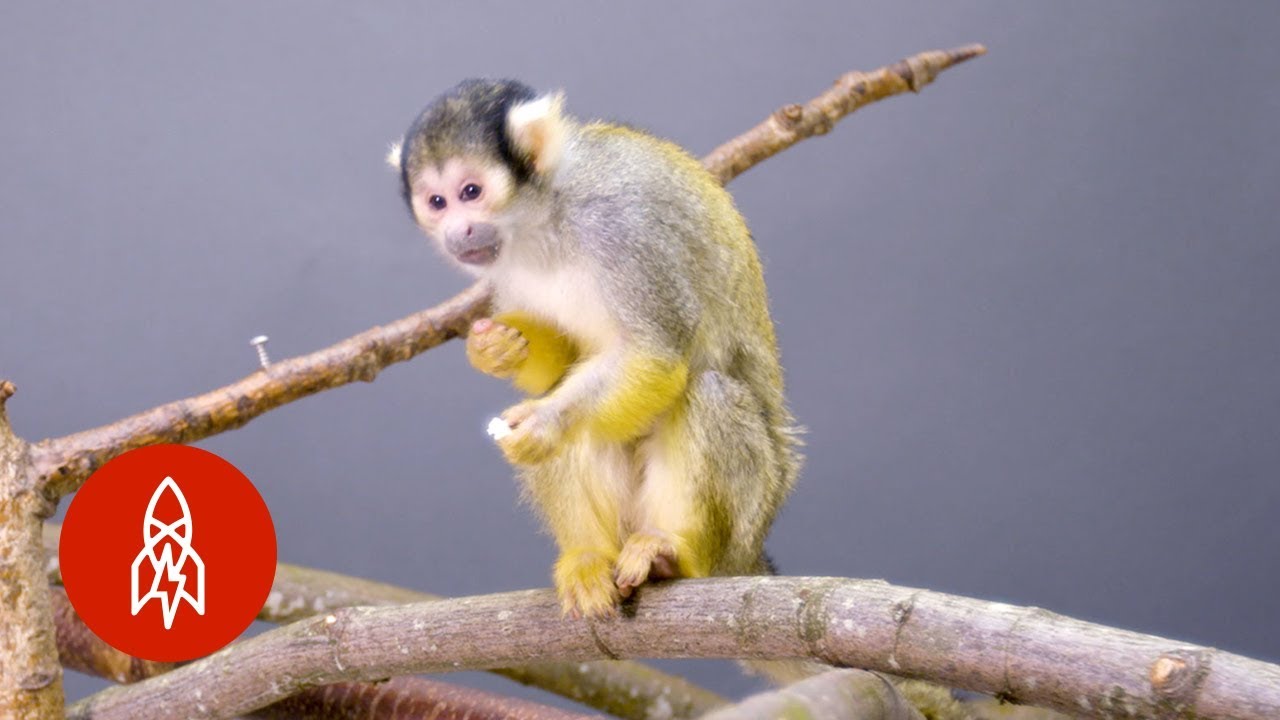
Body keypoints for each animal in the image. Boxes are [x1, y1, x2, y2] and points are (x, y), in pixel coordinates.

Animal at [389, 79, 802, 620]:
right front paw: (499, 349)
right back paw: (588, 557)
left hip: (747, 518)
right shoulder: (504, 266)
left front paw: (546, 422)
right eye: (437, 201)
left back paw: (672, 554)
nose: (459, 231)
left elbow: (654, 355)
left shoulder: (621, 227)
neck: (545, 216)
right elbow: (560, 368)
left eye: (470, 192)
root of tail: (749, 556)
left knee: (706, 393)